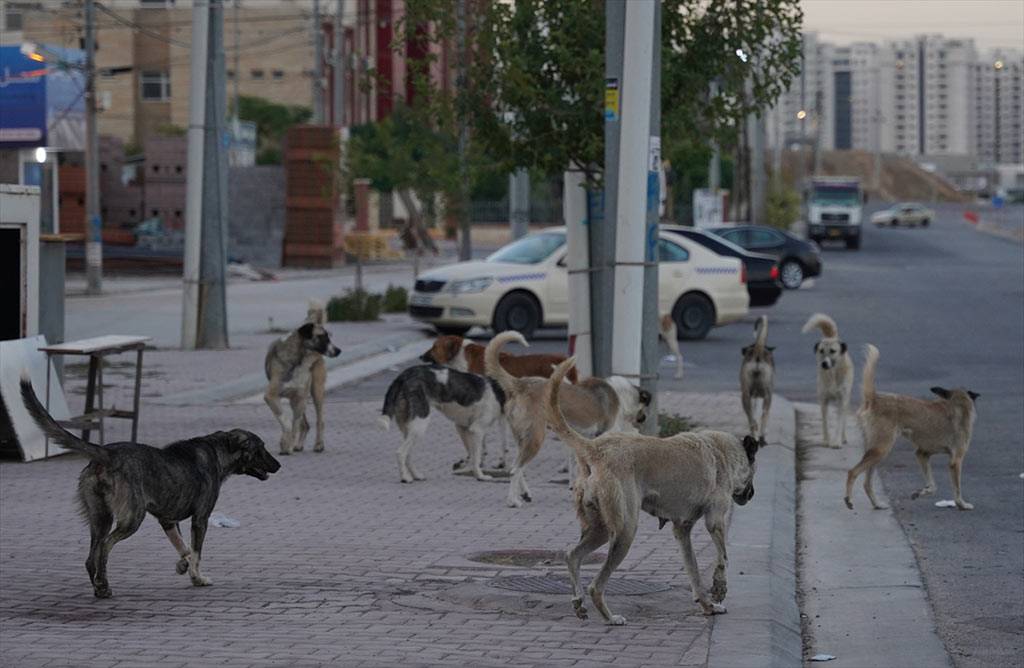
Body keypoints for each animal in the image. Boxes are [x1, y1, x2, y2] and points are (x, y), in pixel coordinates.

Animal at [19, 372, 282, 598]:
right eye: (261, 448)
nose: (279, 465)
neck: (217, 451)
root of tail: (106, 453)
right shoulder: (200, 519)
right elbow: (197, 552)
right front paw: (198, 578)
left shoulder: (168, 520)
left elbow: (185, 548)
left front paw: (183, 566)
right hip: (132, 518)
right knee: (105, 546)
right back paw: (104, 585)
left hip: (100, 517)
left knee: (91, 557)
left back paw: (100, 587)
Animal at [485, 331, 647, 508]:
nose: (643, 418)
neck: (621, 394)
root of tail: (520, 384)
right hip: (536, 438)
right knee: (515, 469)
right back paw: (513, 501)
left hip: (522, 438)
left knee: (518, 468)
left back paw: (525, 494)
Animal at [544, 356, 761, 622]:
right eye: (754, 470)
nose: (752, 494)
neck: (723, 452)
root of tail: (595, 449)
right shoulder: (716, 521)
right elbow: (723, 557)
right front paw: (719, 589)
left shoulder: (682, 530)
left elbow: (693, 569)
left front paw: (707, 604)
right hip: (625, 529)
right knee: (596, 585)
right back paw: (610, 617)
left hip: (601, 527)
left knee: (573, 556)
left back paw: (578, 601)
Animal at [798, 313, 856, 448]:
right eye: (821, 351)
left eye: (833, 351)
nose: (824, 363)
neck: (832, 374)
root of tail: (832, 337)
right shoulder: (824, 400)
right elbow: (825, 422)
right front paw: (826, 440)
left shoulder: (842, 400)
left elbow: (839, 423)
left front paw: (836, 442)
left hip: (847, 399)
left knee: (844, 420)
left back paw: (843, 438)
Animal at [843, 344, 978, 512]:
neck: (957, 403)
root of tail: (875, 398)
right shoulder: (956, 461)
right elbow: (957, 490)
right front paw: (962, 504)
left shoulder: (922, 454)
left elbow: (932, 486)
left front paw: (920, 492)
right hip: (881, 450)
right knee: (852, 472)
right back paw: (849, 500)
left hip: (875, 451)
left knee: (867, 483)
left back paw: (877, 504)